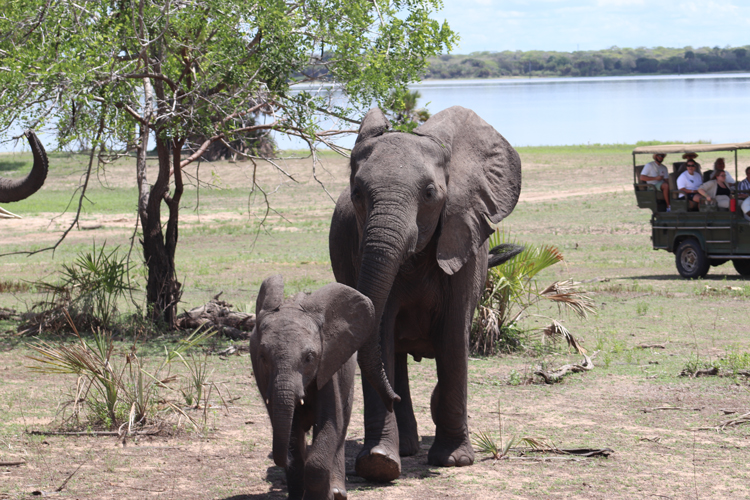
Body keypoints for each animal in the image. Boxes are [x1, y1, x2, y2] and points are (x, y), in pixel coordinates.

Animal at [250, 276, 376, 500]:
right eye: (263, 357)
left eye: (309, 358)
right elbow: (291, 430)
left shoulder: (328, 366)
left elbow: (331, 423)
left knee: (342, 428)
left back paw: (337, 492)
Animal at [330, 105, 524, 480]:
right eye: (357, 193)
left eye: (430, 193)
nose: (391, 398)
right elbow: (381, 334)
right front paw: (378, 464)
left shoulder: (462, 241)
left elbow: (453, 338)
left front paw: (454, 460)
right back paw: (403, 448)